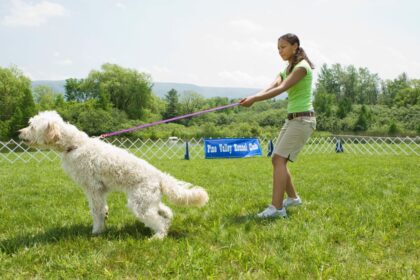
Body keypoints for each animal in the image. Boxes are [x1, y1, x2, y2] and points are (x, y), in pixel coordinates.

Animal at [18, 110, 209, 240]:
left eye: (32, 126)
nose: (18, 132)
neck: (75, 145)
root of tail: (159, 176)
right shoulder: (98, 190)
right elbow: (102, 209)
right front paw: (102, 225)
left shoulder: (93, 189)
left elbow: (97, 211)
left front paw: (97, 231)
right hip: (147, 200)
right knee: (165, 212)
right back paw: (165, 223)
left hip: (139, 204)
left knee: (158, 221)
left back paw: (157, 237)